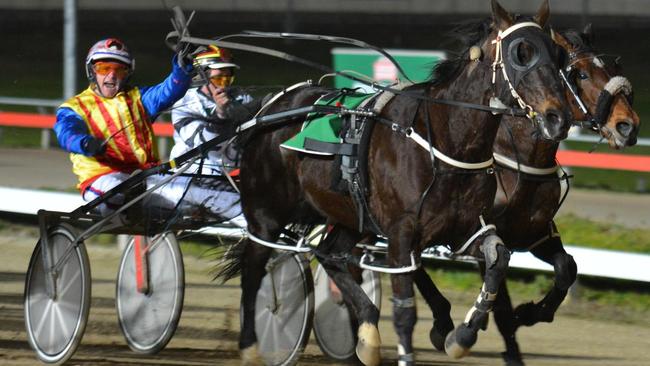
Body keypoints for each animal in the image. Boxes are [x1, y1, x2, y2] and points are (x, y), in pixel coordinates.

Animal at [225, 1, 568, 364]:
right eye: (521, 53)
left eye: (557, 53)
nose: (557, 117)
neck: (446, 140)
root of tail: (271, 107)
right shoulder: (402, 235)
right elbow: (405, 311)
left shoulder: (466, 229)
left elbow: (498, 260)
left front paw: (462, 334)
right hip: (266, 216)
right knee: (253, 273)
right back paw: (251, 345)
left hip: (351, 217)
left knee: (330, 255)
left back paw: (367, 333)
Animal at [410, 24, 636, 364]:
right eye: (581, 74)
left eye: (609, 68)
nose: (628, 126)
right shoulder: (482, 234)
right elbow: (500, 301)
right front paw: (503, 338)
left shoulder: (535, 233)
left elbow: (566, 267)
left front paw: (528, 313)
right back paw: (440, 323)